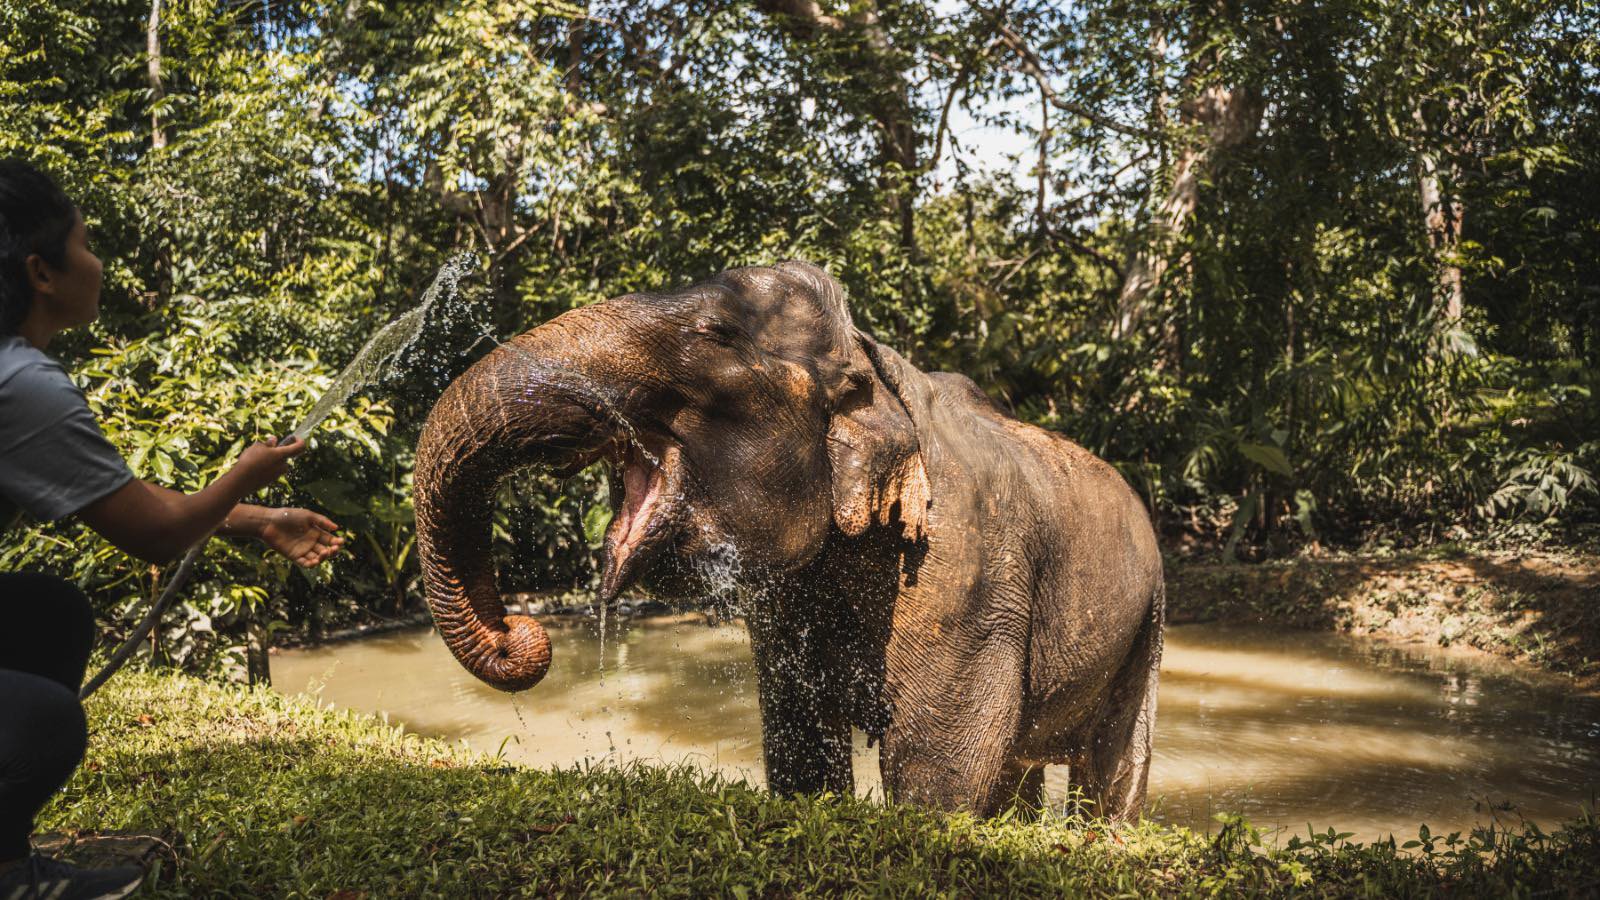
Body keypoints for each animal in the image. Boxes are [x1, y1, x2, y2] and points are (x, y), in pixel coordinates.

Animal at [413, 261, 1164, 820]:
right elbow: (800, 745)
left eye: (714, 332)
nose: (520, 633)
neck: (872, 357)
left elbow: (937, 769)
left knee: (1114, 762)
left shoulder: (966, 571)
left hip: (1147, 618)